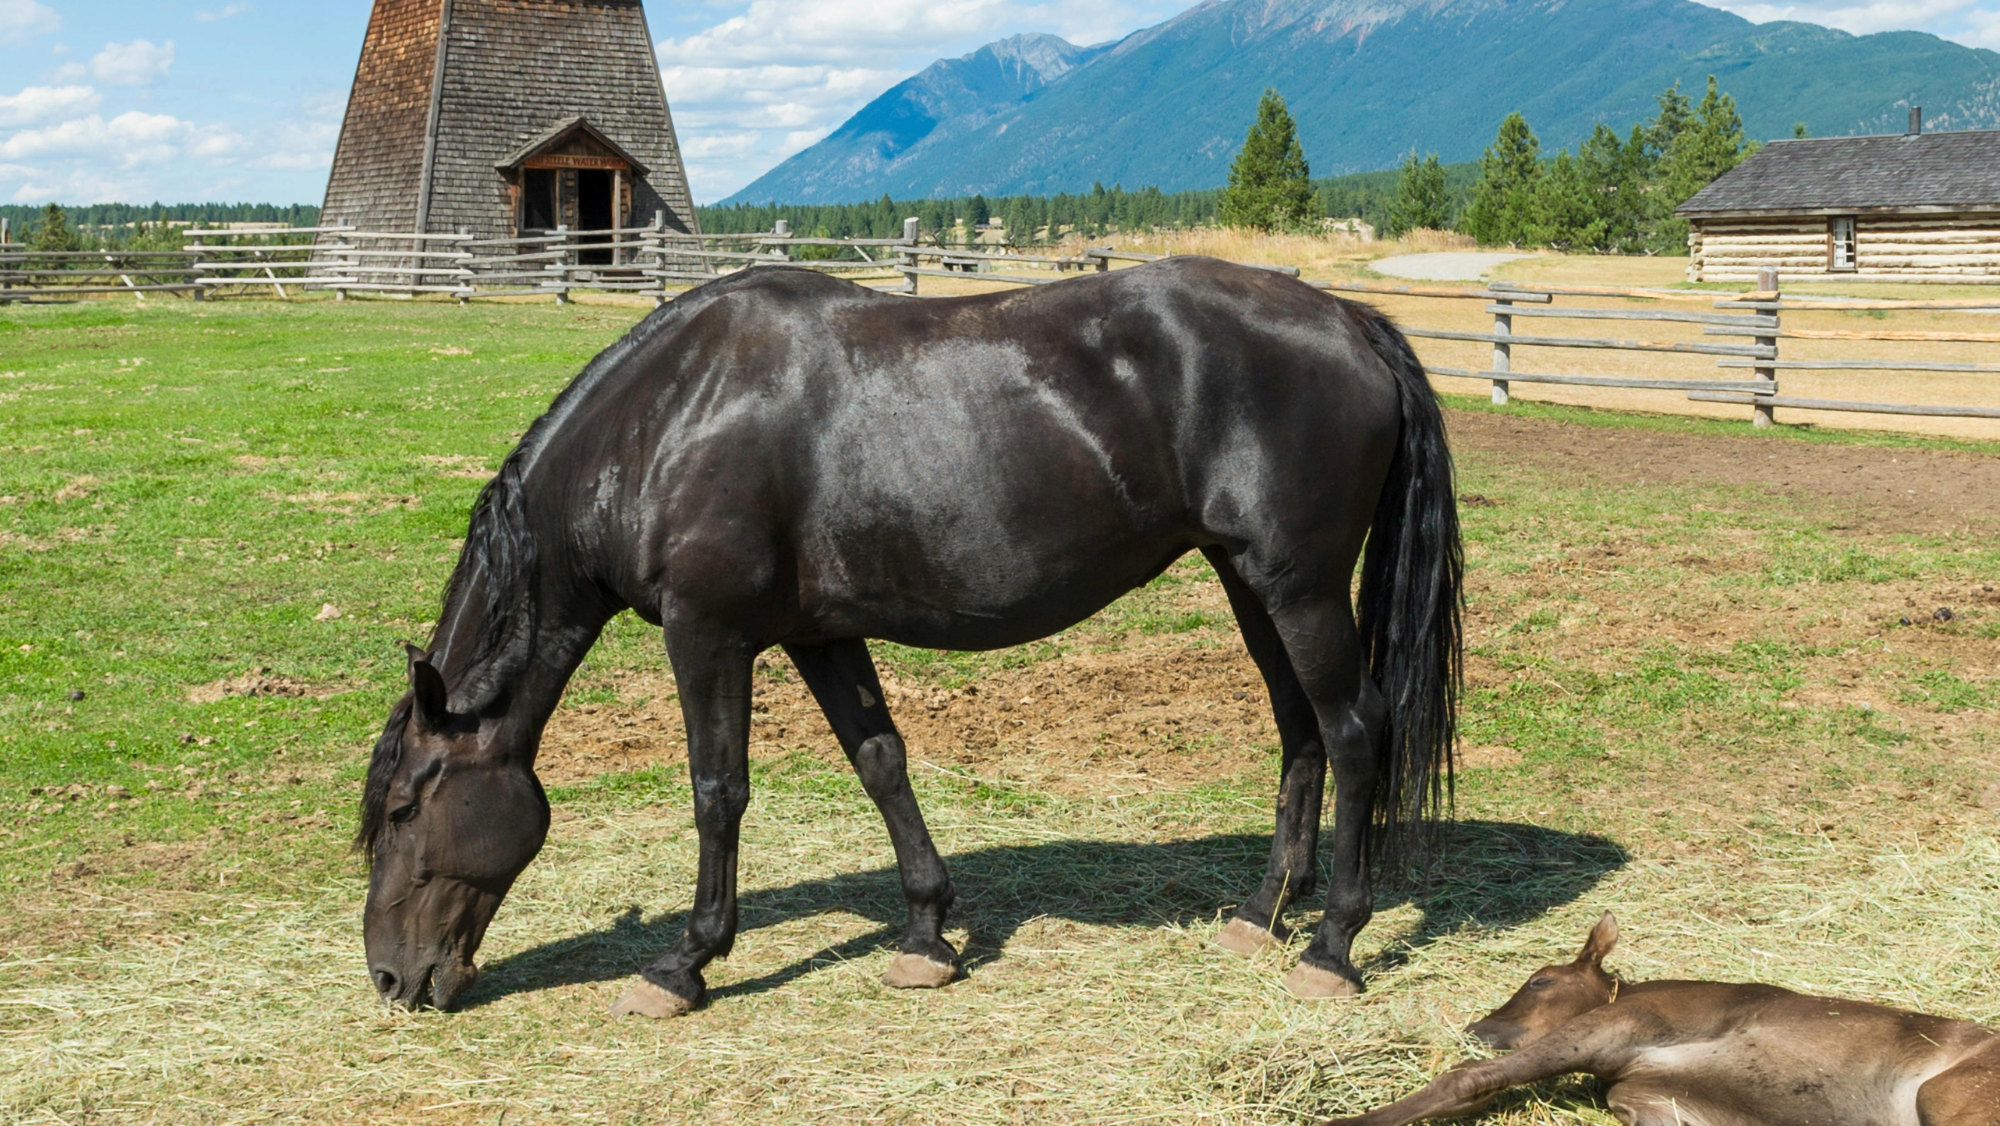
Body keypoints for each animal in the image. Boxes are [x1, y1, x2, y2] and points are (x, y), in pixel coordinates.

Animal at [356, 256, 1462, 1017]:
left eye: (406, 810)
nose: (391, 978)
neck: (669, 419)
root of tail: (1348, 318)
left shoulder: (707, 633)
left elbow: (717, 793)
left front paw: (684, 963)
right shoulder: (815, 635)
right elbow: (880, 761)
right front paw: (929, 932)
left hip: (1299, 587)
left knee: (1354, 730)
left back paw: (1332, 945)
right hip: (1250, 582)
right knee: (1300, 729)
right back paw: (1259, 915)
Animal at [1323, 913, 2000, 1125]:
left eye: (1539, 980)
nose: (1478, 1026)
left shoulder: (1618, 1028)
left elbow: (1464, 1080)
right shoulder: (1659, 1104)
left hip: (1950, 1097)